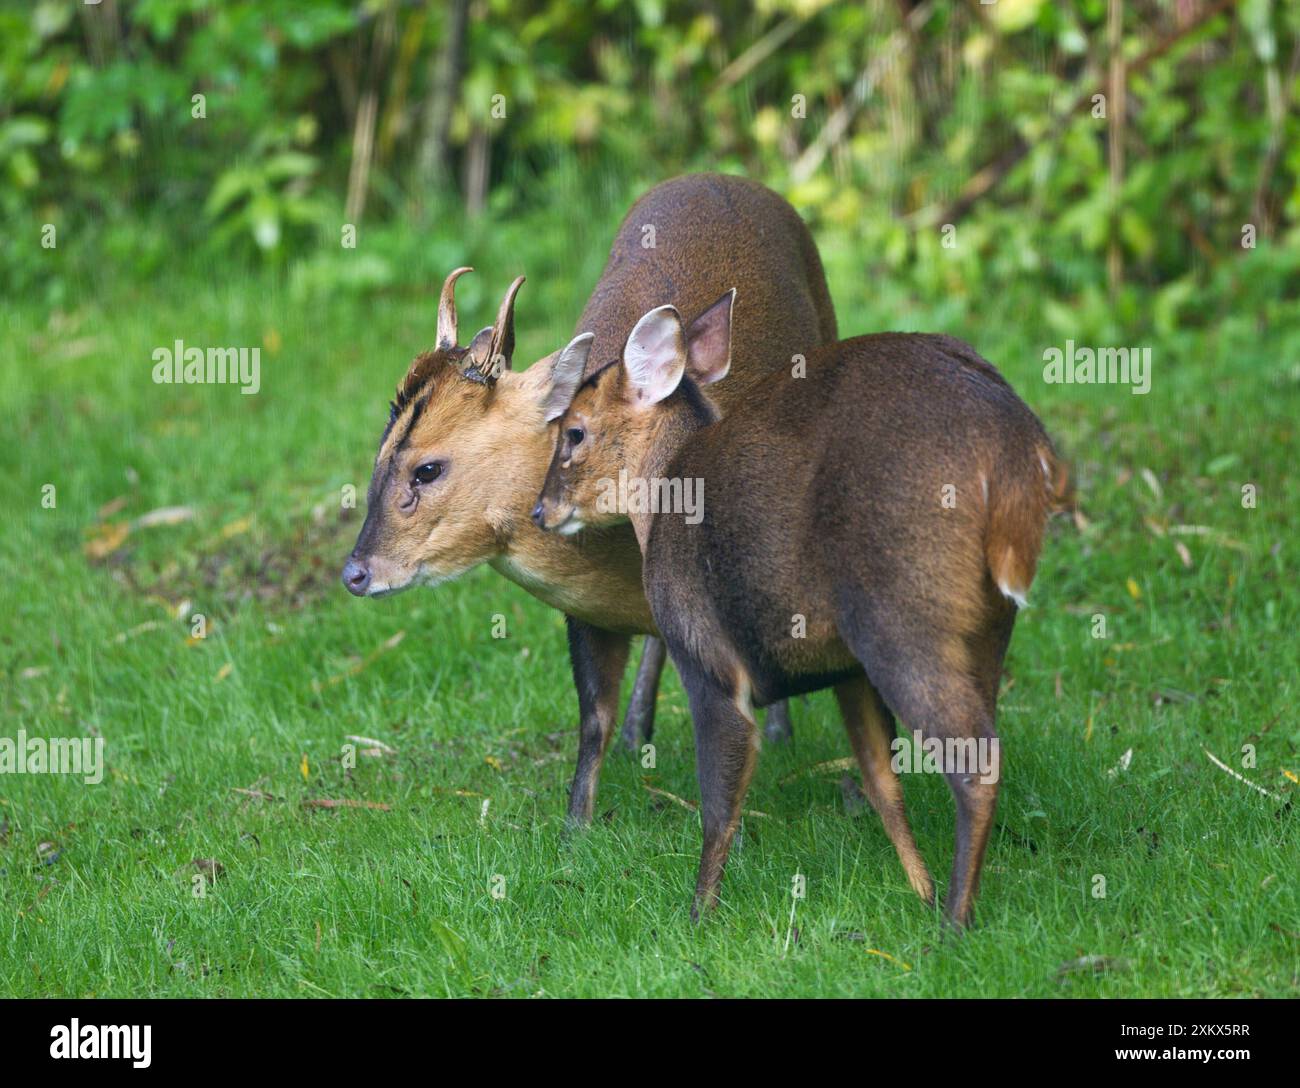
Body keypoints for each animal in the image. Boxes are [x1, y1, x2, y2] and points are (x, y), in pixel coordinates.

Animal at [340, 174, 838, 827]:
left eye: (427, 468)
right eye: (379, 452)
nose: (355, 572)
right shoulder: (586, 614)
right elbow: (592, 720)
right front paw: (575, 827)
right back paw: (638, 731)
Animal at [533, 294, 1067, 928]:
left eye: (574, 432)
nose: (540, 510)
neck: (665, 494)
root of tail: (1014, 445)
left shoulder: (707, 654)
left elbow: (719, 803)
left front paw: (697, 916)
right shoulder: (845, 672)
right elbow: (882, 784)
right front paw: (921, 889)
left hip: (902, 617)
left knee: (975, 762)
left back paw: (954, 928)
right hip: (985, 625)